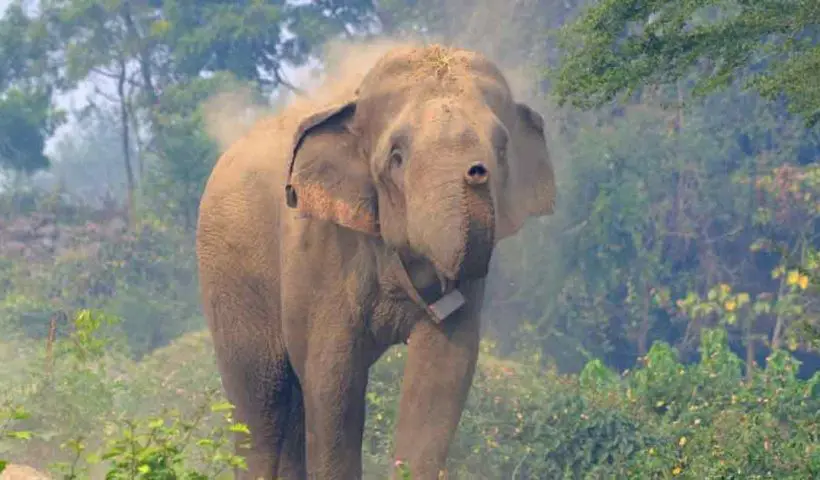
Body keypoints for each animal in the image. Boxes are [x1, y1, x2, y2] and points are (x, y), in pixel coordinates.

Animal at [195, 43, 556, 480]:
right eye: (396, 158)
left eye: (502, 149)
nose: (476, 171)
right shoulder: (323, 248)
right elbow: (333, 377)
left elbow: (443, 371)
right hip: (228, 270)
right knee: (262, 403)